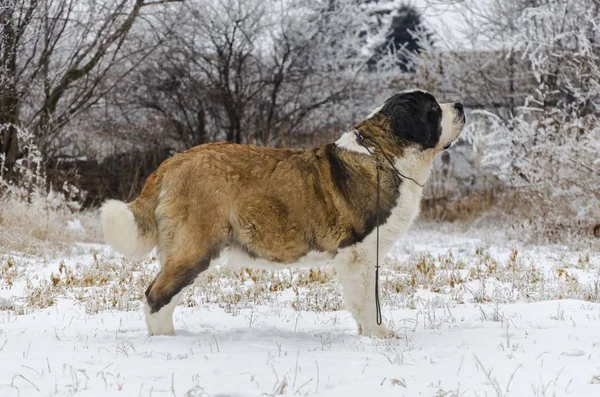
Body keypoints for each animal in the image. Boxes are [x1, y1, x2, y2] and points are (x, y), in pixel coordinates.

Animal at [101, 89, 466, 338]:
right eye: (433, 109)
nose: (461, 106)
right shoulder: (358, 254)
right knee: (157, 294)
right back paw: (167, 340)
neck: (383, 154)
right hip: (194, 249)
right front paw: (378, 336)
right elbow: (365, 299)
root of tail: (172, 162)